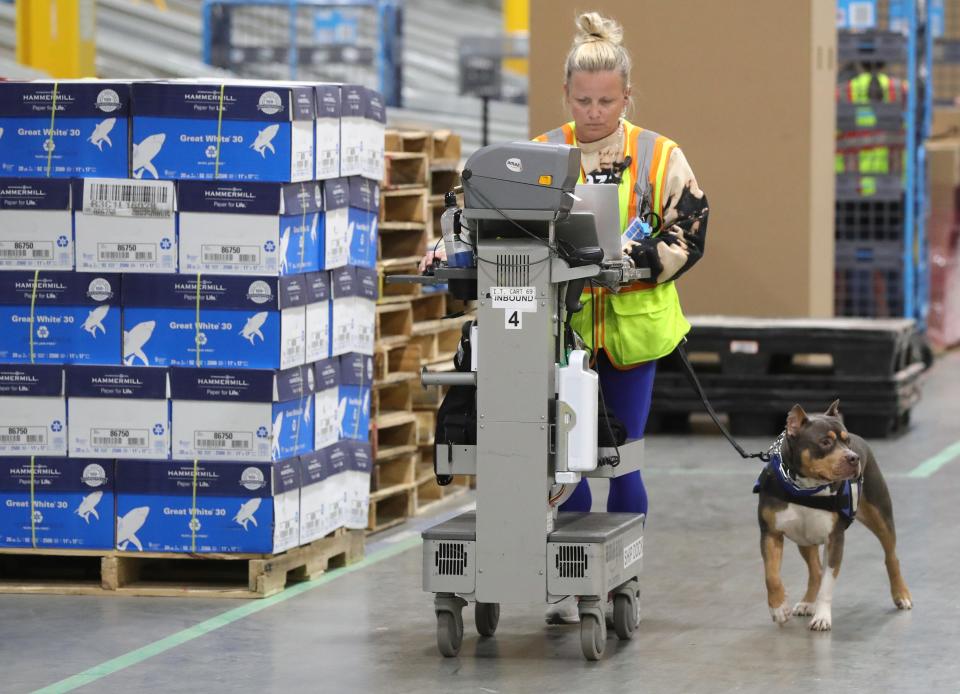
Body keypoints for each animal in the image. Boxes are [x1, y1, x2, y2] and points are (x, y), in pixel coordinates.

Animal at [752, 400, 912, 632]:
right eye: (825, 442)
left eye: (847, 442)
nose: (853, 458)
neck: (805, 488)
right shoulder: (770, 533)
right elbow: (771, 575)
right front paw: (778, 608)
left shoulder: (835, 539)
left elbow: (827, 583)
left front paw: (822, 617)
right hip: (805, 539)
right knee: (815, 570)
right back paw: (807, 602)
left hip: (881, 516)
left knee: (891, 556)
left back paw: (901, 594)